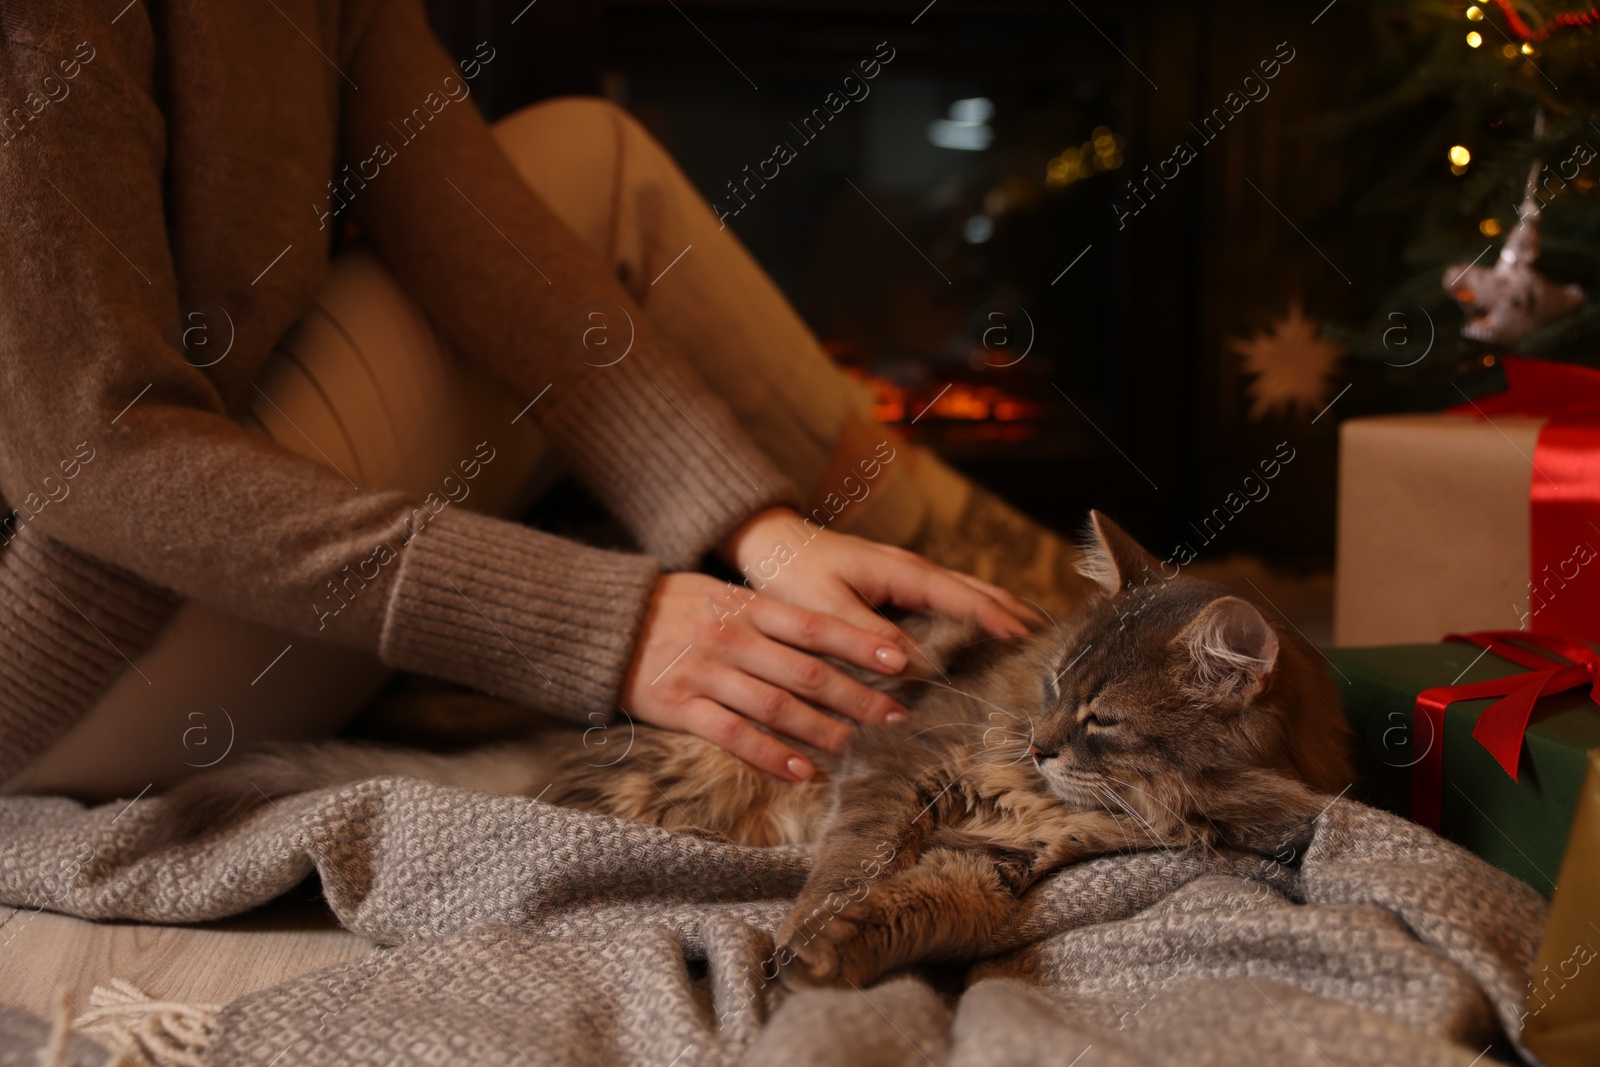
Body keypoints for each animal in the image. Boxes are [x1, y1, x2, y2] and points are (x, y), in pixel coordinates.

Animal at [156, 511, 1350, 991]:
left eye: (1100, 720)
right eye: (1057, 685)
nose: (1040, 737)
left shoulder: (996, 860)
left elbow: (905, 903)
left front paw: (821, 958)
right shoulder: (900, 763)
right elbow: (852, 861)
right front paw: (802, 922)